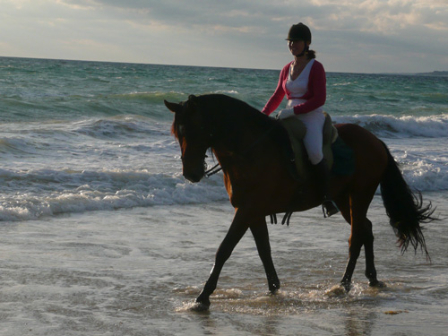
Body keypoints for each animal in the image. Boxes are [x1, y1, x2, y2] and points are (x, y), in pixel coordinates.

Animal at [164, 93, 434, 312]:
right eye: (177, 133)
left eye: (194, 129)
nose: (191, 174)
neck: (249, 150)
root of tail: (375, 140)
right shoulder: (253, 212)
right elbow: (264, 250)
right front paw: (274, 288)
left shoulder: (247, 209)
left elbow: (224, 249)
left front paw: (202, 297)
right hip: (344, 199)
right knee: (365, 229)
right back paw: (372, 278)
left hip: (359, 196)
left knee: (356, 236)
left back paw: (343, 285)